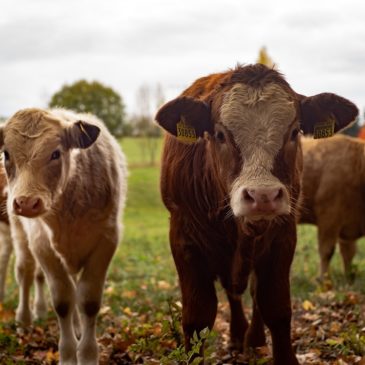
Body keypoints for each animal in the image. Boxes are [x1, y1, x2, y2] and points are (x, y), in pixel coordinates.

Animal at [0, 108, 126, 364]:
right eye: (6, 154)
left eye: (56, 153)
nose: (26, 203)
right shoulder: (42, 246)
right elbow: (63, 301)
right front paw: (68, 355)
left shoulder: (106, 241)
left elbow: (87, 301)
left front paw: (87, 354)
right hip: (19, 232)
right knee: (26, 273)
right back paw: (25, 319)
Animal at [155, 64, 356, 362]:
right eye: (220, 135)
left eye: (294, 132)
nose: (263, 196)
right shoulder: (184, 240)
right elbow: (197, 316)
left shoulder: (283, 236)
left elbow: (276, 307)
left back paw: (254, 339)